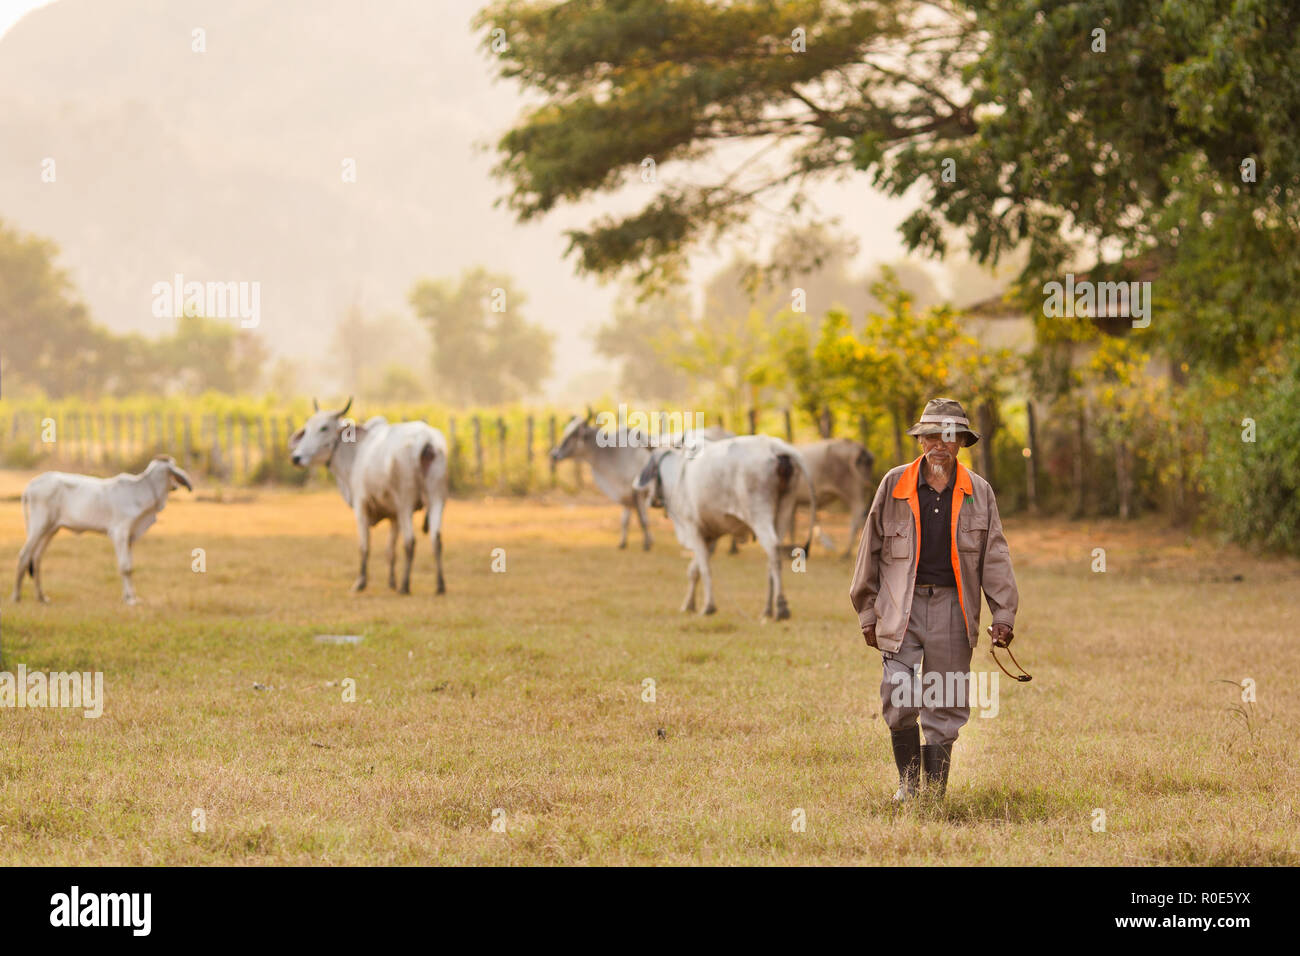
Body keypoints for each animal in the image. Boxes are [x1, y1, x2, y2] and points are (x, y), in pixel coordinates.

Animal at [12, 455, 192, 606]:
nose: (176, 485)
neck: (142, 490)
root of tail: (30, 486)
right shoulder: (120, 533)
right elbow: (125, 567)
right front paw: (130, 600)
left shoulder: (130, 537)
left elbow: (130, 566)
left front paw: (131, 596)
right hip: (39, 525)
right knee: (24, 555)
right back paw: (16, 596)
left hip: (50, 529)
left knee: (36, 559)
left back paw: (41, 597)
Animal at [289, 398, 447, 595]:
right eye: (307, 428)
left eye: (324, 427)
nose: (296, 457)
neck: (356, 452)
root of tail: (426, 441)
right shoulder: (393, 514)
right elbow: (390, 550)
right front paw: (391, 582)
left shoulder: (362, 505)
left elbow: (364, 546)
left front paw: (361, 582)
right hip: (436, 497)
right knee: (436, 539)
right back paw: (439, 585)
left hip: (406, 502)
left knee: (410, 541)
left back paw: (405, 586)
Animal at [548, 413, 655, 554]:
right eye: (566, 432)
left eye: (574, 435)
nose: (554, 454)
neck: (612, 453)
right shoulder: (625, 494)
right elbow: (625, 520)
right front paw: (623, 543)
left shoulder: (637, 491)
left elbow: (642, 519)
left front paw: (647, 544)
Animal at [631, 434, 811, 621]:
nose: (649, 499)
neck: (677, 474)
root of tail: (775, 447)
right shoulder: (709, 536)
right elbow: (694, 570)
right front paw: (689, 605)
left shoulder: (693, 529)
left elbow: (704, 569)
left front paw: (708, 607)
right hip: (785, 508)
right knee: (773, 555)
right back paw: (768, 609)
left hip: (759, 512)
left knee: (773, 548)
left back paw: (781, 607)